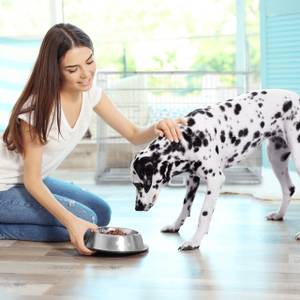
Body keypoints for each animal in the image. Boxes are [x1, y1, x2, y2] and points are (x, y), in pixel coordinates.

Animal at [131, 89, 300, 251]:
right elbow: (185, 207)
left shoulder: (215, 180)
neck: (189, 138)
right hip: (276, 158)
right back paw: (279, 215)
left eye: (138, 184)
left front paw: (194, 241)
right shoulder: (193, 178)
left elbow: (204, 214)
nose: (137, 208)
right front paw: (175, 226)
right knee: (289, 188)